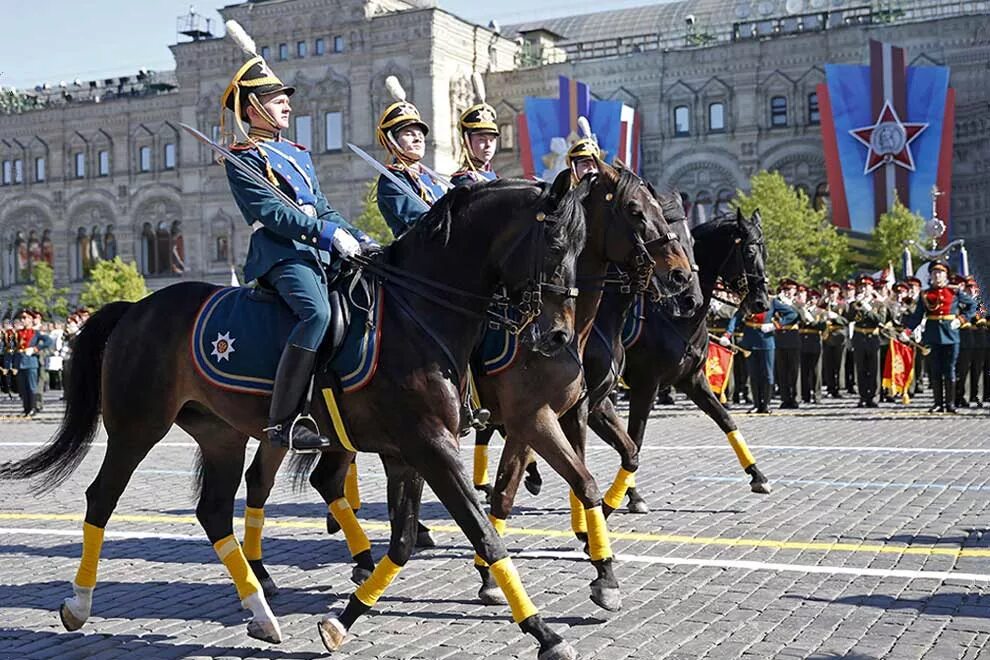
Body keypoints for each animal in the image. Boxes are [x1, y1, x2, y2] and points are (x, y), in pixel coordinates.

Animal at [1, 177, 596, 660]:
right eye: (557, 243)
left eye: (583, 247)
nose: (557, 337)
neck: (417, 314)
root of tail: (136, 307)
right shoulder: (432, 445)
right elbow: (484, 535)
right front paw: (545, 632)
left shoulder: (410, 452)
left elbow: (404, 542)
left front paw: (342, 620)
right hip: (136, 427)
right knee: (102, 498)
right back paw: (79, 604)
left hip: (220, 435)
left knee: (214, 511)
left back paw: (262, 613)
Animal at [236, 165, 692, 620]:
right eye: (636, 211)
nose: (683, 277)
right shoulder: (532, 418)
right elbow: (518, 492)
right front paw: (497, 576)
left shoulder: (575, 410)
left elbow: (591, 474)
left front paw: (596, 557)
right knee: (273, 481)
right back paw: (273, 571)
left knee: (316, 480)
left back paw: (356, 561)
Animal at [588, 208, 776, 516]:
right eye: (749, 251)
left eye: (766, 252)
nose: (761, 303)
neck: (676, 314)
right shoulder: (646, 385)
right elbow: (635, 438)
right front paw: (633, 495)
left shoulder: (692, 380)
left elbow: (726, 419)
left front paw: (757, 475)